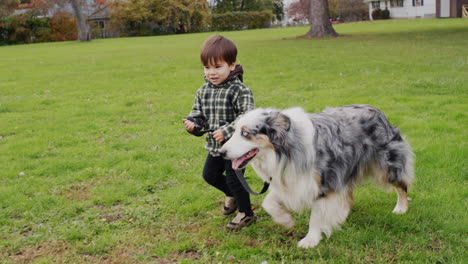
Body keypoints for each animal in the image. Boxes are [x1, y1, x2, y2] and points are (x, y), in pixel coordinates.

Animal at [218, 104, 414, 248]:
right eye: (234, 131)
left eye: (245, 133)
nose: (221, 152)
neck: (285, 150)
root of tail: (376, 110)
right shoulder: (291, 179)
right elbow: (269, 202)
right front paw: (286, 220)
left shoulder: (323, 183)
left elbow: (316, 216)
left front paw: (310, 240)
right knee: (348, 197)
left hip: (386, 165)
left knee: (402, 186)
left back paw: (401, 208)